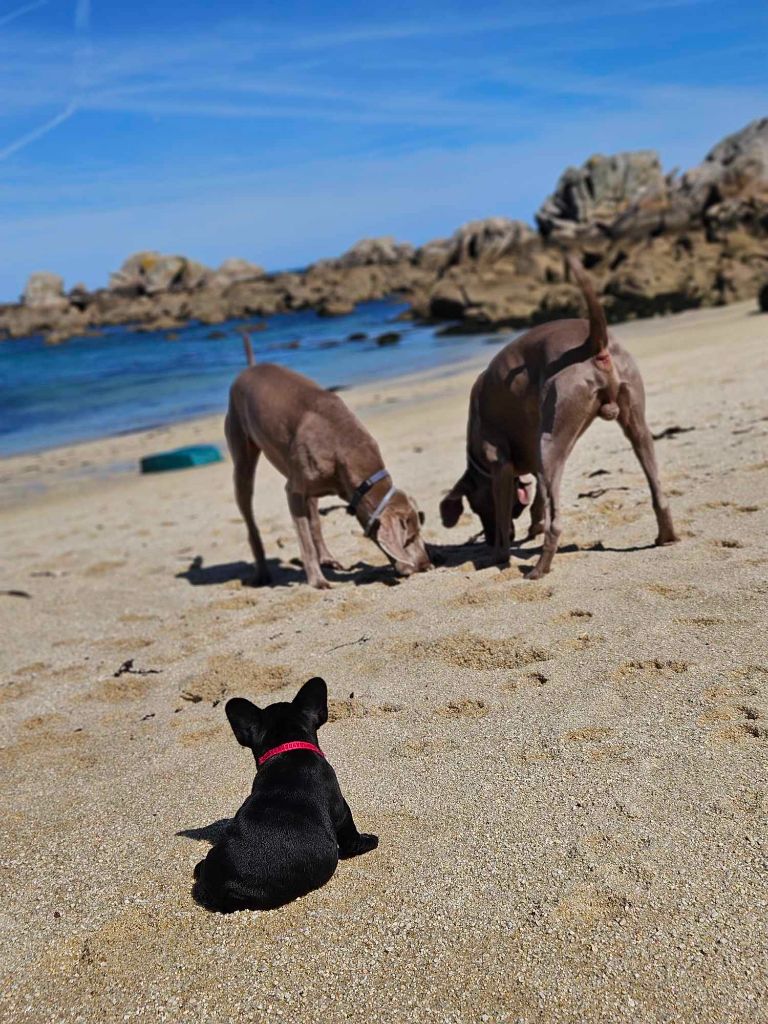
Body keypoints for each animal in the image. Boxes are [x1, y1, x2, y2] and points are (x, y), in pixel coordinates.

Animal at [227, 344, 434, 589]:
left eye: (419, 533)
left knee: (315, 520)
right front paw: (318, 581)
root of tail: (250, 368)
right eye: (409, 538)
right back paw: (262, 574)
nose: (427, 565)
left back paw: (327, 558)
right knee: (250, 516)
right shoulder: (293, 491)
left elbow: (313, 527)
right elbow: (305, 540)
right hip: (242, 458)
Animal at [442, 253, 675, 577]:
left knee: (557, 523)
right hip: (634, 423)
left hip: (552, 440)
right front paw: (531, 527)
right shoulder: (533, 458)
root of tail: (592, 344)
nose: (486, 539)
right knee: (656, 486)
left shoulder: (500, 465)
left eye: (477, 507)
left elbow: (503, 515)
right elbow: (538, 497)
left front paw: (500, 554)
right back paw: (667, 535)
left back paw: (539, 568)